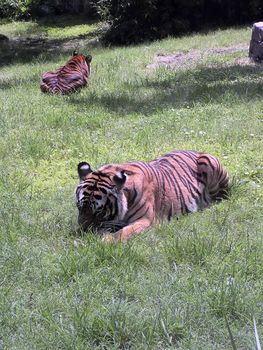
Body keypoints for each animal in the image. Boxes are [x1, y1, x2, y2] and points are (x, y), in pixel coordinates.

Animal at [75, 149, 230, 242]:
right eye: (79, 207)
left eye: (99, 212)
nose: (82, 232)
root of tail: (197, 150)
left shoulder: (145, 220)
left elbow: (123, 233)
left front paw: (105, 241)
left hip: (208, 163)